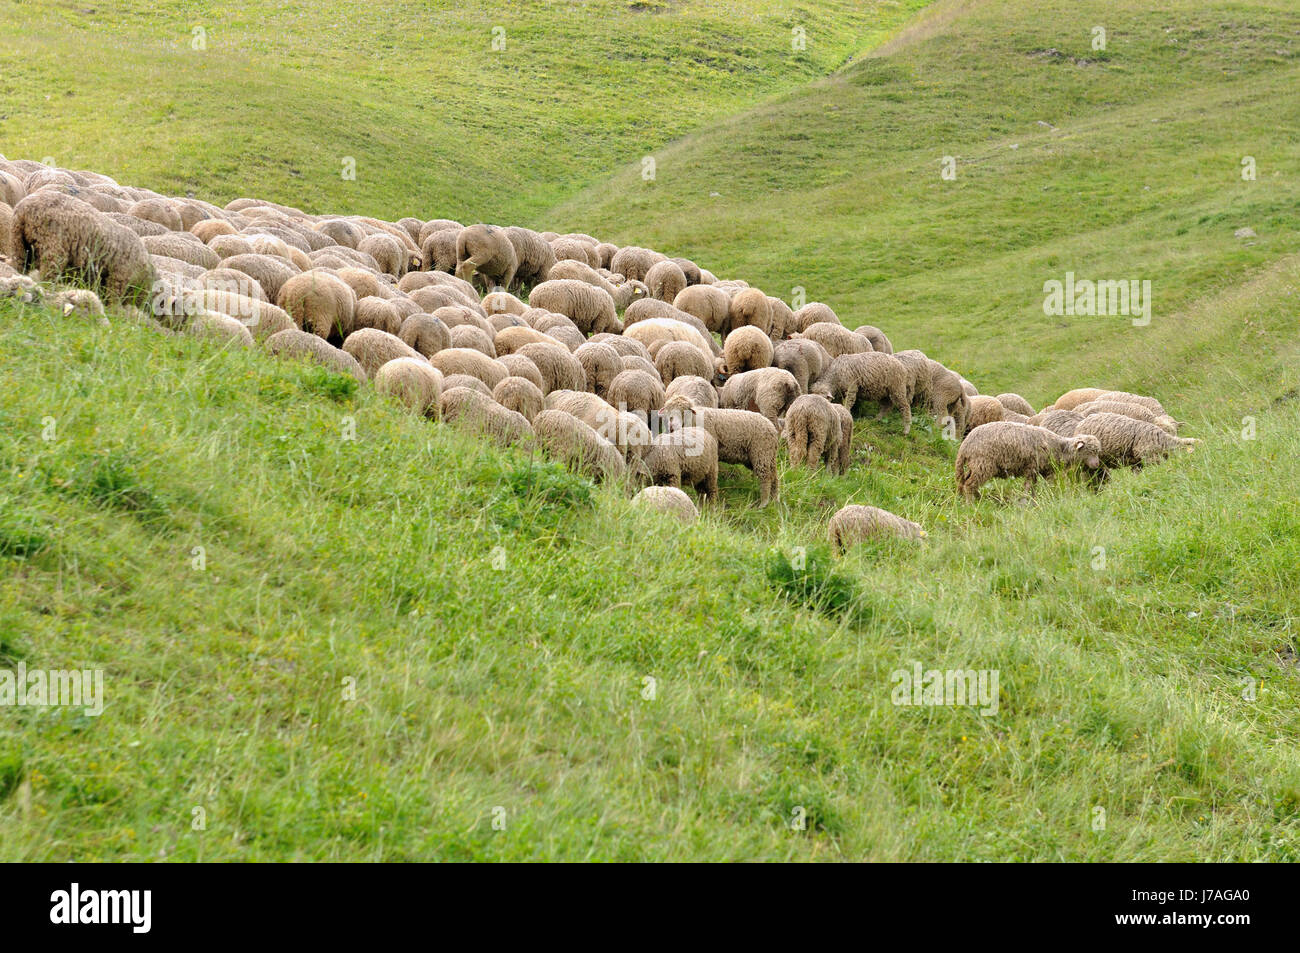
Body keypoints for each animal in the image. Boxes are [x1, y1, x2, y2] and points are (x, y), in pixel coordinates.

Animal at [10, 190, 154, 303]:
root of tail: (24, 209)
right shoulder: (119, 276)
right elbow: (113, 299)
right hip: (52, 247)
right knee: (48, 275)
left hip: (19, 243)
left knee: (19, 265)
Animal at [954, 422, 1103, 501]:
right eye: (1090, 451)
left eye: (1097, 452)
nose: (1096, 465)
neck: (1060, 448)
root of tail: (965, 445)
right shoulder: (1033, 468)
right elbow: (1034, 486)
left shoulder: (1039, 470)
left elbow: (1033, 487)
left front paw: (1032, 499)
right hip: (983, 464)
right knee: (969, 484)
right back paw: (971, 503)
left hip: (974, 465)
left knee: (965, 482)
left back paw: (978, 498)